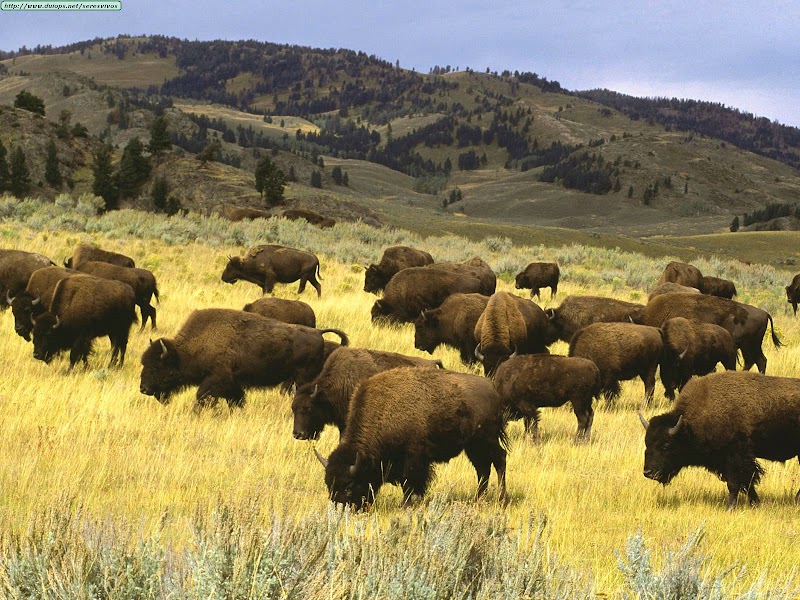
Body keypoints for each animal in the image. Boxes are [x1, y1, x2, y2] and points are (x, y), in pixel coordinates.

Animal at [140, 308, 348, 407]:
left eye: (157, 367)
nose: (143, 388)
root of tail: (318, 332)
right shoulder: (233, 384)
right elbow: (236, 401)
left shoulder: (216, 379)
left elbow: (202, 396)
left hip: (302, 377)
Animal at [316, 367, 508, 509]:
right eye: (329, 485)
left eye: (349, 486)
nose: (340, 509)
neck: (384, 411)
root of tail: (493, 389)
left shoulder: (412, 457)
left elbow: (408, 482)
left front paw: (406, 505)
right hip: (473, 446)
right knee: (483, 469)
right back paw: (478, 499)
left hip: (486, 440)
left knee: (499, 460)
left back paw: (501, 500)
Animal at [640, 371, 800, 508]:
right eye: (647, 444)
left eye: (666, 445)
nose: (648, 472)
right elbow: (746, 482)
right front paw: (755, 503)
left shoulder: (736, 456)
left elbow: (736, 483)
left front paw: (731, 507)